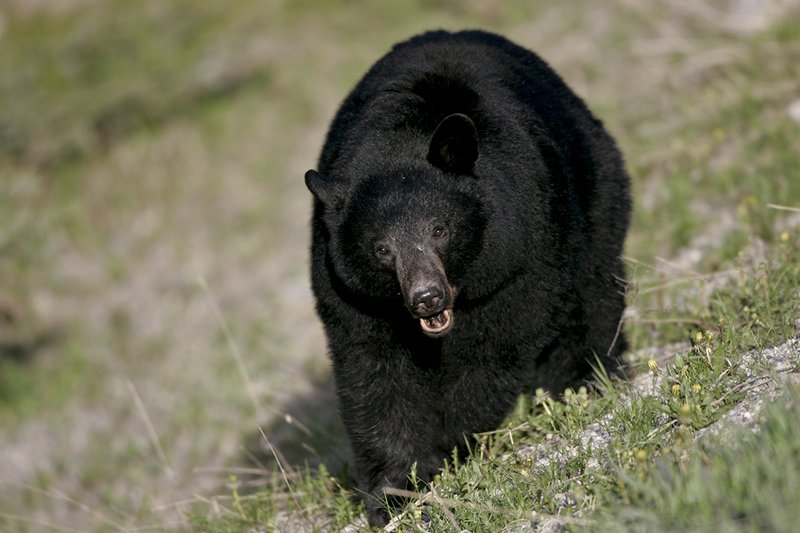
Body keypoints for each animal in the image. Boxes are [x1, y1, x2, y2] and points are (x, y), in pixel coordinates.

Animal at [304, 29, 630, 526]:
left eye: (440, 229)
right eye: (382, 249)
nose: (426, 297)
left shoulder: (521, 258)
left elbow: (491, 356)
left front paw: (449, 446)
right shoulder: (351, 296)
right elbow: (374, 376)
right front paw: (395, 490)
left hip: (596, 188)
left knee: (594, 291)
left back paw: (590, 378)